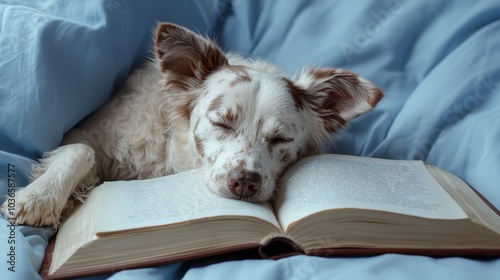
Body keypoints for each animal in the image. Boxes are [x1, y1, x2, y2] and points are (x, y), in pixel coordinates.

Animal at [0, 22, 382, 228]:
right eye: (221, 123)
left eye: (280, 139)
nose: (244, 182)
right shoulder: (85, 131)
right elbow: (80, 151)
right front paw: (39, 197)